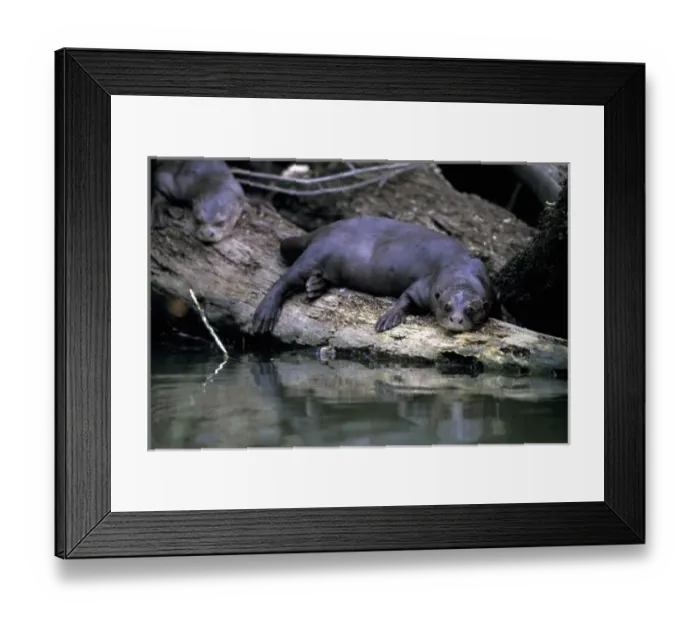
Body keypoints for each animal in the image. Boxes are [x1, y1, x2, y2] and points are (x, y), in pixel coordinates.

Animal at [251, 216, 496, 335]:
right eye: (446, 306)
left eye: (470, 310)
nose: (456, 320)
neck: (460, 267)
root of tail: (325, 229)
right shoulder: (426, 285)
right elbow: (406, 297)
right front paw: (389, 317)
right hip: (316, 253)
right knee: (284, 279)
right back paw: (265, 313)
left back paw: (315, 286)